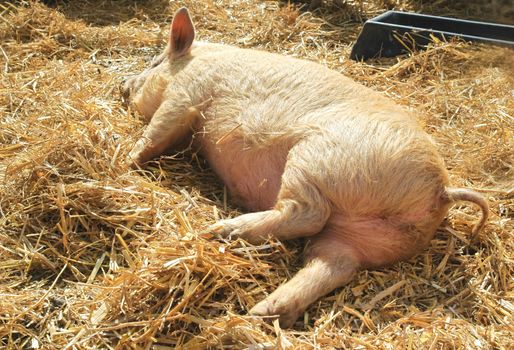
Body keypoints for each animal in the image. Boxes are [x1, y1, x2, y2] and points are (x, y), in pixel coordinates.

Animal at [121, 6, 488, 328]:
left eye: (155, 62)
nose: (123, 84)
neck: (198, 59)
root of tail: (441, 189)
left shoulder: (187, 94)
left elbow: (157, 130)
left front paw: (126, 161)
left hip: (315, 159)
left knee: (307, 214)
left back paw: (219, 231)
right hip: (368, 238)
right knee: (336, 264)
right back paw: (262, 313)